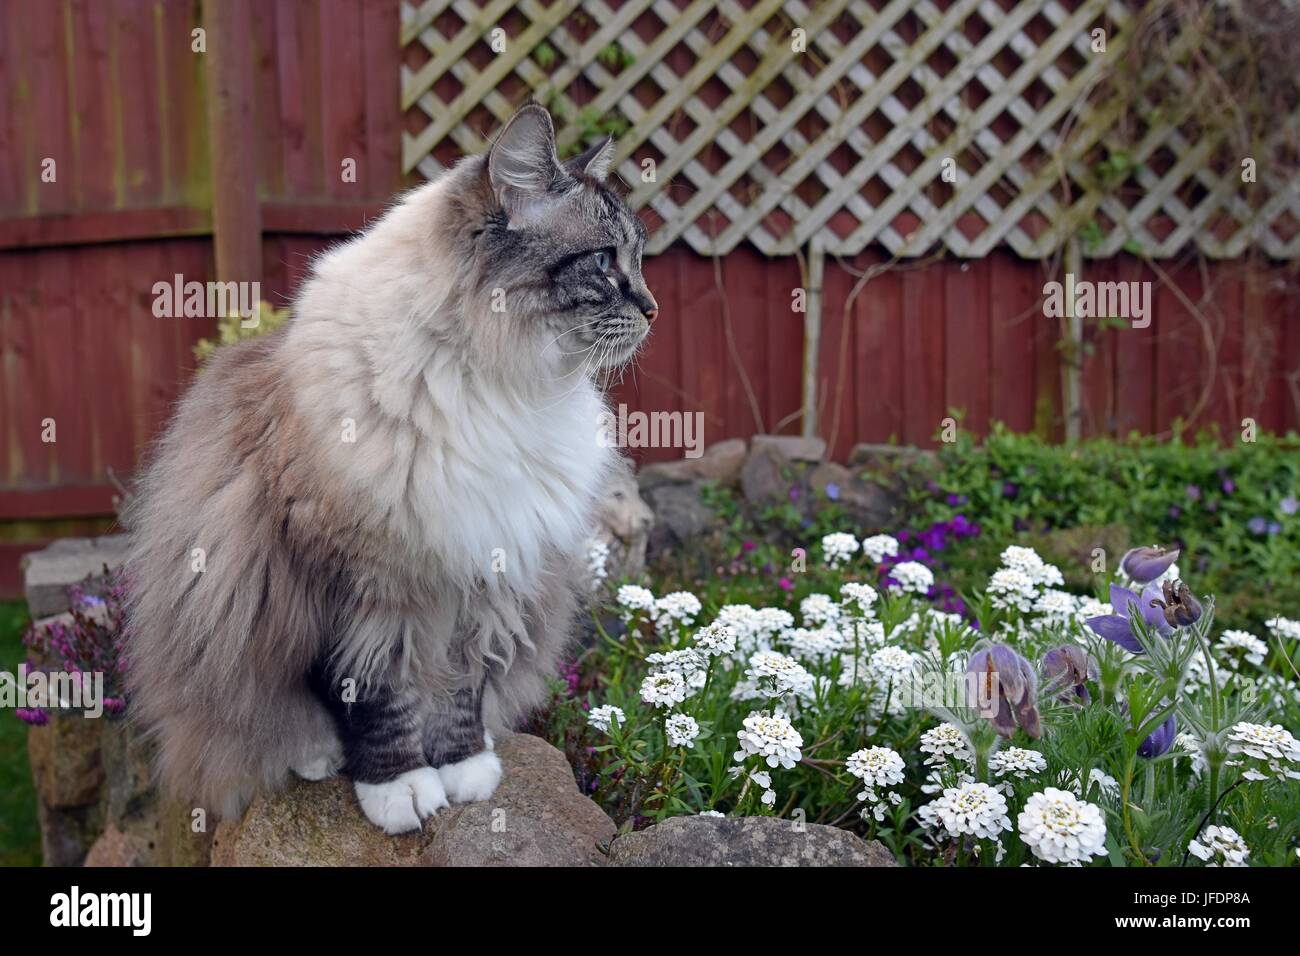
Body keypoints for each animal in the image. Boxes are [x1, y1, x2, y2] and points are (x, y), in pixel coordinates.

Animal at [122, 104, 660, 832]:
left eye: (638, 257)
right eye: (605, 262)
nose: (653, 309)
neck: (491, 383)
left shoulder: (484, 574)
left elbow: (461, 690)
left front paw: (464, 771)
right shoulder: (358, 586)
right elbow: (373, 699)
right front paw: (399, 791)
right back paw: (318, 757)